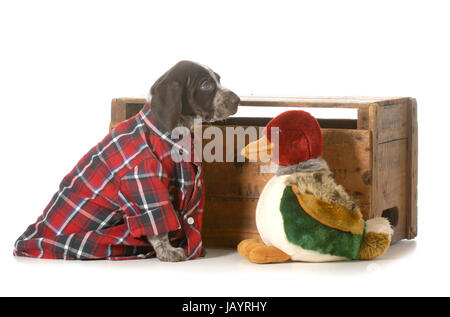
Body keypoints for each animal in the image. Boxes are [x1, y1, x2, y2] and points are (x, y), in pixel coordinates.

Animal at [13, 60, 239, 260]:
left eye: (218, 80)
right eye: (206, 85)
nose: (237, 100)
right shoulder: (141, 178)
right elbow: (158, 222)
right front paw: (168, 252)